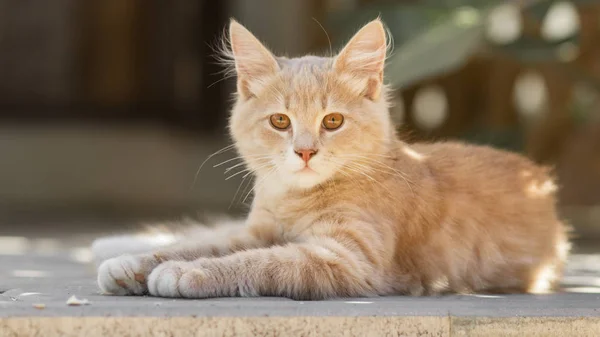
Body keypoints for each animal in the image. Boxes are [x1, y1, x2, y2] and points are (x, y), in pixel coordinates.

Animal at [94, 18, 568, 298]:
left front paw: (186, 273)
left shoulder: (348, 260)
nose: (305, 151)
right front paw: (137, 263)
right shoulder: (256, 230)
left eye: (333, 120)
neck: (295, 200)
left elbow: (260, 261)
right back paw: (110, 246)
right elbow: (202, 243)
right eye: (280, 121)